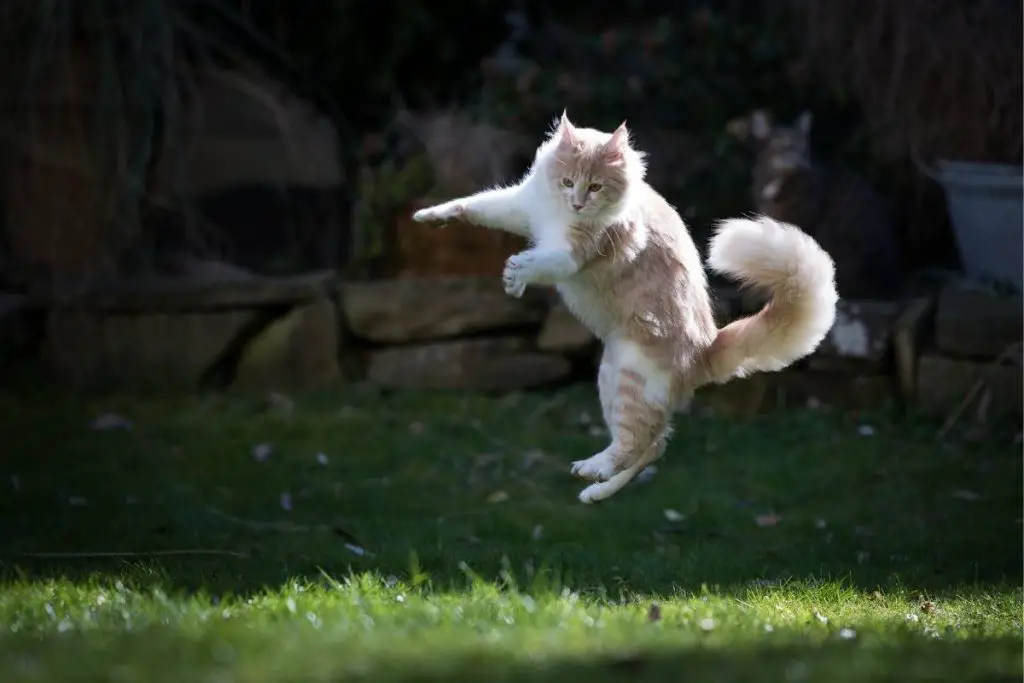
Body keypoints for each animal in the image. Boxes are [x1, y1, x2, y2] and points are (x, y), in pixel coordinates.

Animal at [409, 113, 839, 501]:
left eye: (596, 187)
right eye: (568, 182)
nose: (577, 203)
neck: (560, 210)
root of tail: (707, 347)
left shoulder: (571, 252)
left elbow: (540, 261)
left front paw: (516, 275)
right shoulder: (522, 207)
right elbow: (476, 205)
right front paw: (431, 216)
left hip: (632, 381)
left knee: (635, 445)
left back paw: (592, 469)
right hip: (610, 377)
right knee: (653, 446)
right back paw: (595, 490)